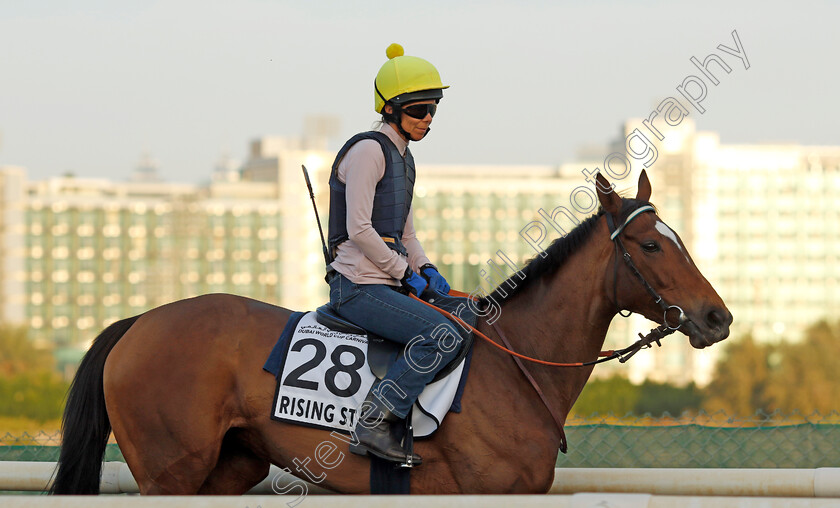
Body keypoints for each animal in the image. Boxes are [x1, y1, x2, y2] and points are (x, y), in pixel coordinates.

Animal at [50, 170, 728, 492]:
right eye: (649, 245)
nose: (716, 317)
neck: (517, 366)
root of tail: (138, 324)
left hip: (229, 468)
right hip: (169, 474)